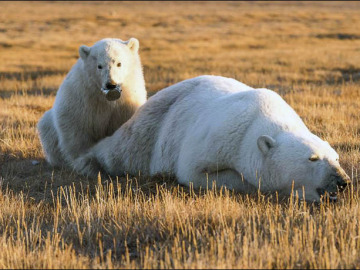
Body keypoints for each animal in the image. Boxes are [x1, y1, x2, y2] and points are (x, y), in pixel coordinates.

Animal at [37, 37, 146, 168]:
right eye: (99, 66)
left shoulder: (126, 102)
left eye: (119, 63)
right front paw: (82, 160)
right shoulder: (82, 98)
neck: (105, 98)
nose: (111, 84)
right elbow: (76, 129)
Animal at [74, 75, 350, 201]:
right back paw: (88, 162)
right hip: (154, 125)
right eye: (313, 158)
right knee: (122, 150)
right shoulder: (221, 136)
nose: (342, 181)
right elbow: (194, 171)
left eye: (336, 157)